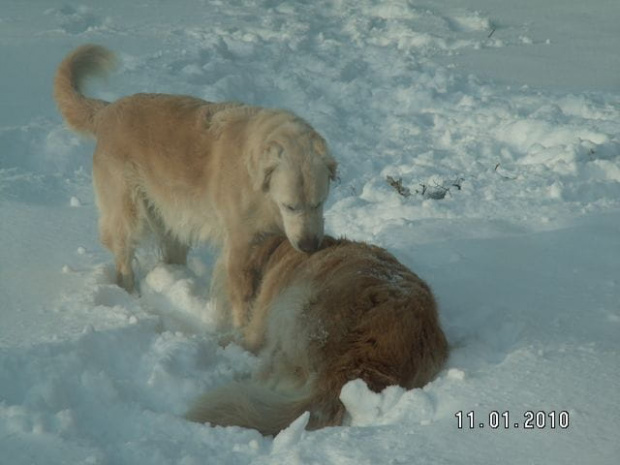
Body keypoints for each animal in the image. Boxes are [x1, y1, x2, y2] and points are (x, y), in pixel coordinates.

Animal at [54, 44, 336, 326]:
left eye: (319, 203)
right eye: (290, 206)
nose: (310, 246)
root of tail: (108, 110)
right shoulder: (241, 248)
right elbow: (243, 299)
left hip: (169, 215)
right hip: (127, 214)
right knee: (123, 256)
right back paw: (130, 294)